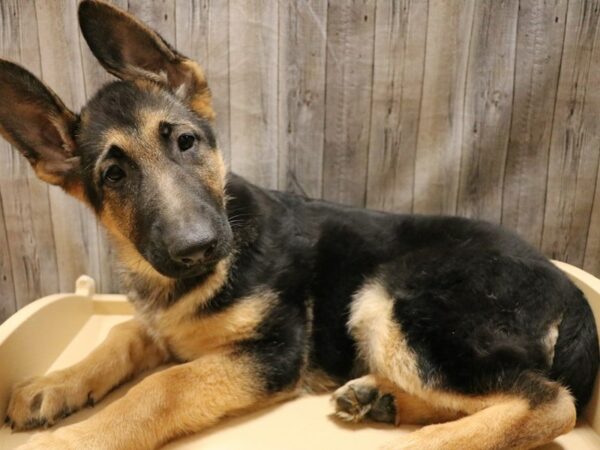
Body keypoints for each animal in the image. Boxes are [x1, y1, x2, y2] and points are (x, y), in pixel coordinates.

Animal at [0, 1, 596, 448]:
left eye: (185, 142)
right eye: (114, 175)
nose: (196, 248)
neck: (187, 283)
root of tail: (572, 295)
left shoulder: (273, 352)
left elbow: (163, 387)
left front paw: (71, 440)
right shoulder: (164, 328)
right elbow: (122, 334)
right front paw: (54, 383)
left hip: (395, 301)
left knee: (549, 402)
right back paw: (381, 400)